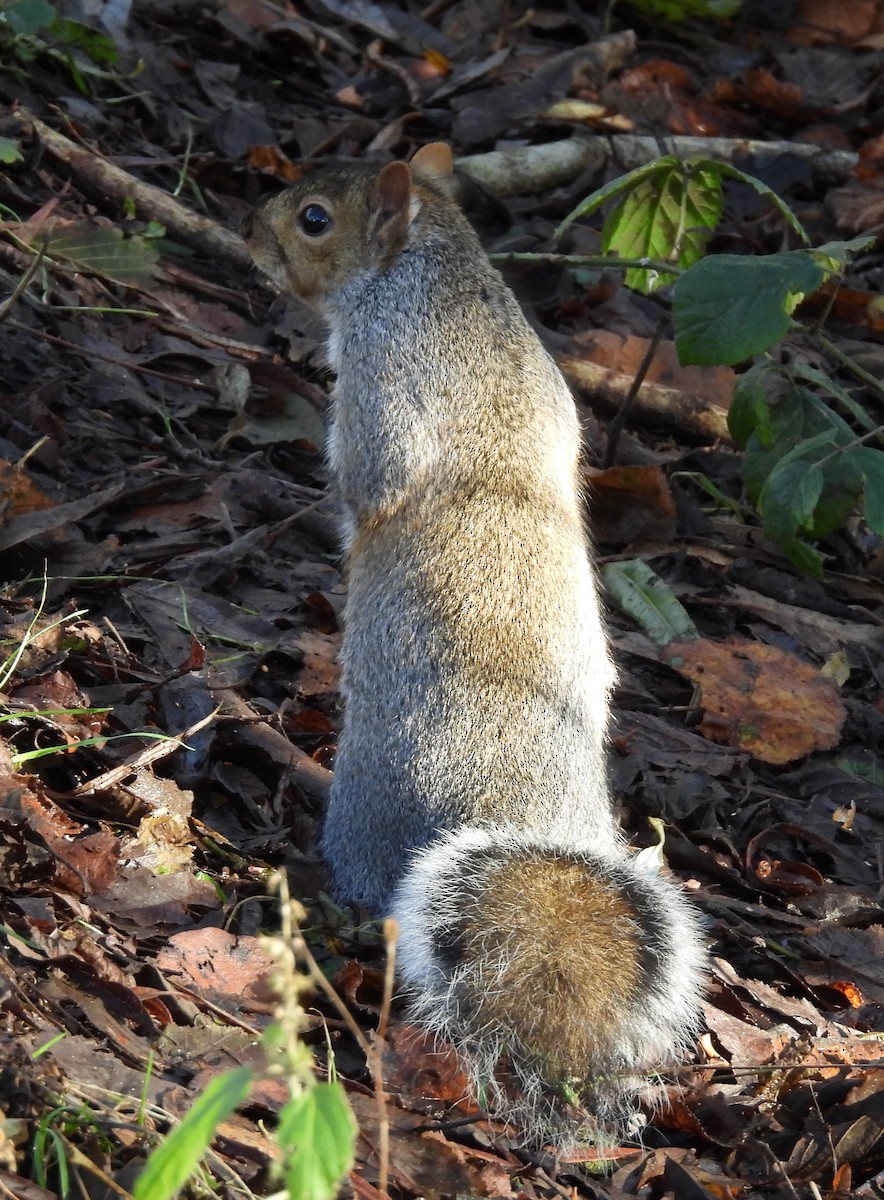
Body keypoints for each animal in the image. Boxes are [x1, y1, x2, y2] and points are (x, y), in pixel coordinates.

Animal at [242, 143, 706, 1149]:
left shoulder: (384, 377)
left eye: (313, 219)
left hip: (369, 808)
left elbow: (370, 482)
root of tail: (514, 803)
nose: (251, 233)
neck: (444, 277)